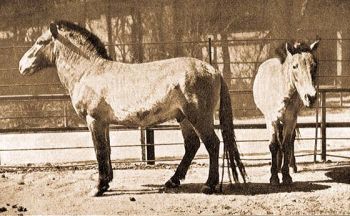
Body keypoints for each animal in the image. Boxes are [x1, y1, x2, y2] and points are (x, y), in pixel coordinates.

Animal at [17, 21, 245, 197]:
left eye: (39, 42)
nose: (21, 66)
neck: (88, 71)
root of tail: (213, 70)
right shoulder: (103, 123)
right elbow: (107, 150)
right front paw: (107, 182)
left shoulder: (94, 120)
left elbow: (100, 151)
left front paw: (98, 188)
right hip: (184, 118)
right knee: (192, 145)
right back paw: (172, 181)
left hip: (198, 117)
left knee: (212, 144)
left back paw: (209, 185)